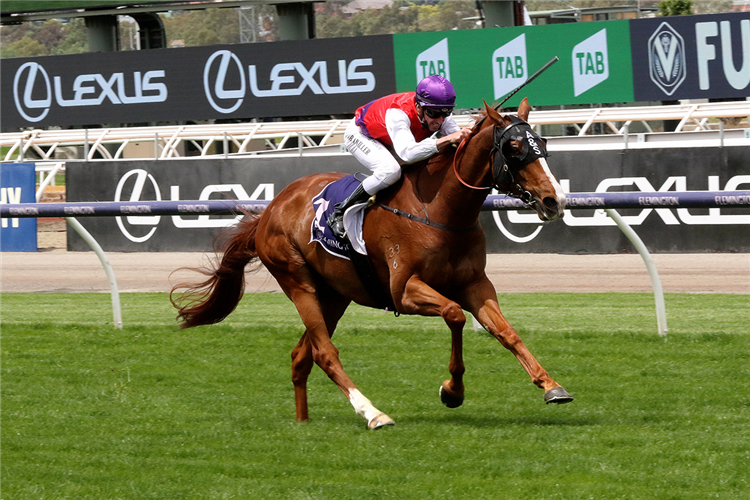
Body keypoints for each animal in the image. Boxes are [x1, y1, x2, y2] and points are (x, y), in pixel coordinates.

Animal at [173, 98, 576, 430]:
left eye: (543, 145)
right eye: (513, 147)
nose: (554, 199)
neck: (438, 210)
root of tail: (270, 209)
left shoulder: (475, 284)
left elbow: (506, 332)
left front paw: (551, 385)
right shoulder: (404, 291)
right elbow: (454, 315)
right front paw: (452, 390)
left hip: (334, 294)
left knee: (302, 354)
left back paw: (303, 421)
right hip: (297, 281)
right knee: (324, 352)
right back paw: (372, 413)